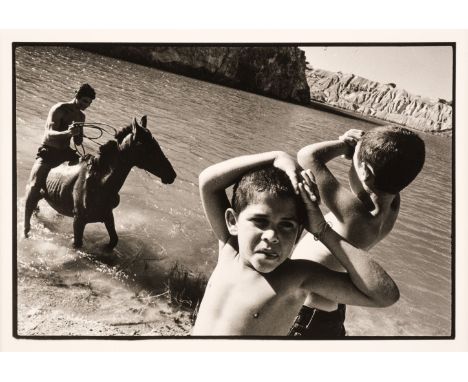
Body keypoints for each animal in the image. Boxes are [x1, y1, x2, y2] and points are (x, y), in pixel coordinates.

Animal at [28, 115, 177, 249]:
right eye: (148, 148)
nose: (172, 175)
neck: (100, 182)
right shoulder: (79, 221)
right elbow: (77, 244)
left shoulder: (107, 216)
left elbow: (114, 240)